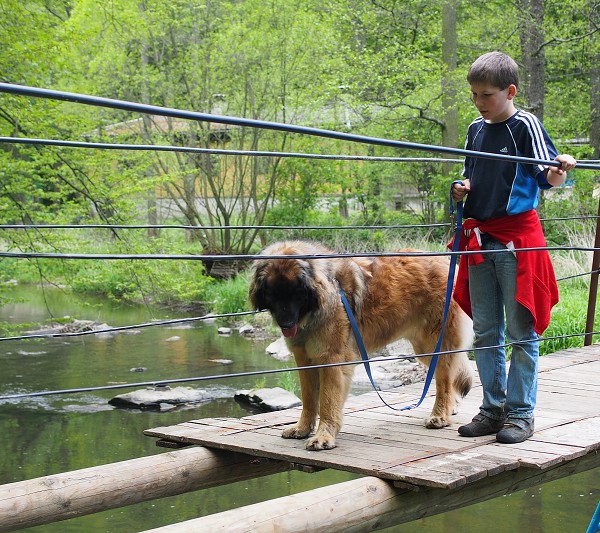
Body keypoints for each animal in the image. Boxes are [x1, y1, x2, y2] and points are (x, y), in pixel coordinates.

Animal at [248, 240, 474, 448]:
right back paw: (451, 407)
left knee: (444, 379)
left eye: (296, 292)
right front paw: (302, 428)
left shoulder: (332, 360)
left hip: (435, 342)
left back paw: (440, 416)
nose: (285, 324)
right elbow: (309, 399)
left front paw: (324, 436)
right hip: (424, 349)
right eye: (273, 293)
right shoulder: (305, 359)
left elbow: (327, 402)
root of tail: (447, 262)